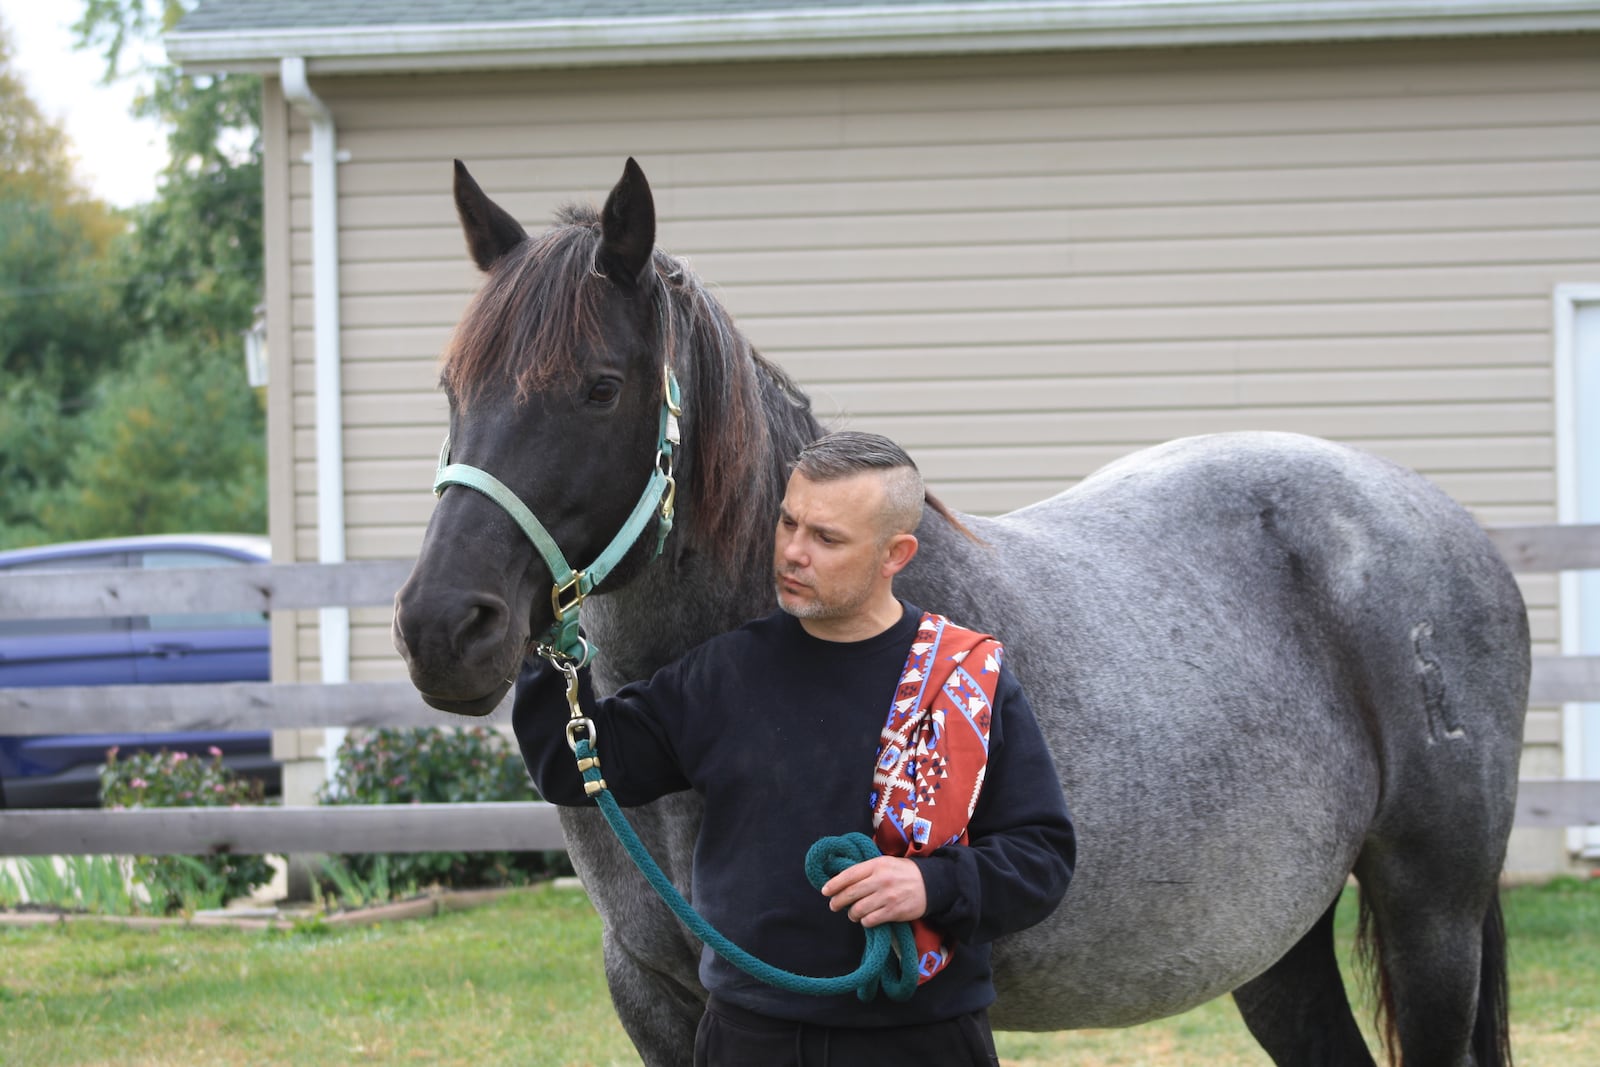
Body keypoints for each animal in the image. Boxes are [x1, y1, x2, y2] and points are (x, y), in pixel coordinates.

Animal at [393, 158, 1529, 1067]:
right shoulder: (653, 993)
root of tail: (1448, 523)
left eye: (599, 386)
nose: (442, 627)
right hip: (1278, 942)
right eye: (450, 386)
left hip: (1431, 917)